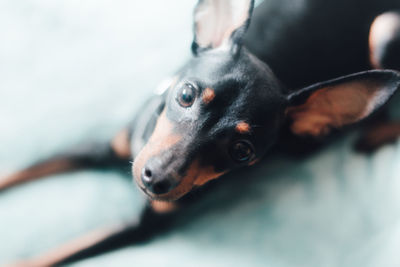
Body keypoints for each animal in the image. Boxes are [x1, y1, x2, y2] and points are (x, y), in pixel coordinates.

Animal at [2, 0, 400, 266]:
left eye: (242, 151)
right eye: (185, 95)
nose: (155, 179)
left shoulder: (141, 228)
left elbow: (54, 253)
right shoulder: (98, 147)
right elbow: (19, 171)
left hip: (383, 29)